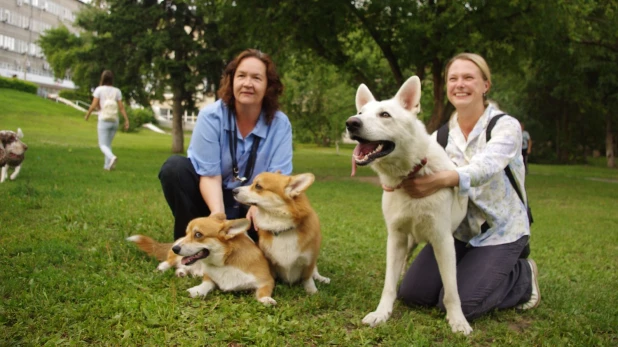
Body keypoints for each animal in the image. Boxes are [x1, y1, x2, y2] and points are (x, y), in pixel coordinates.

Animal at [344, 77, 470, 336]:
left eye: (384, 114)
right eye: (360, 113)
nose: (351, 123)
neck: (410, 175)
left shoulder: (443, 241)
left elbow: (452, 290)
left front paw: (458, 320)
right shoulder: (396, 237)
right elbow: (389, 284)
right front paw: (382, 313)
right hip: (408, 241)